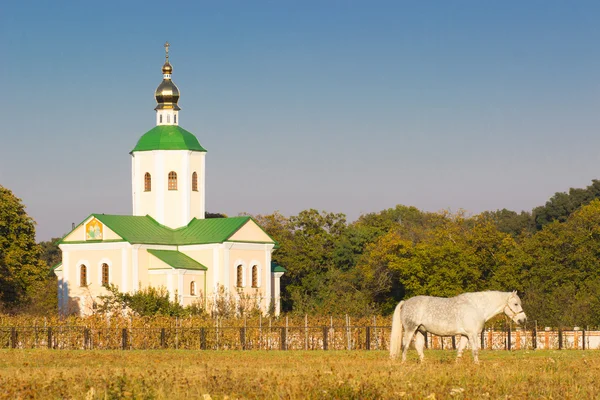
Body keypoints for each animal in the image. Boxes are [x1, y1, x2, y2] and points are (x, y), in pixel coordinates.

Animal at [390, 290, 524, 362]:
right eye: (516, 304)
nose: (523, 319)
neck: (476, 306)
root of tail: (405, 302)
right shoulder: (472, 335)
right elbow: (475, 351)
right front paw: (477, 366)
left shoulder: (465, 335)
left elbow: (460, 351)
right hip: (410, 329)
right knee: (405, 346)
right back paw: (404, 363)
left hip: (420, 330)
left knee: (418, 347)